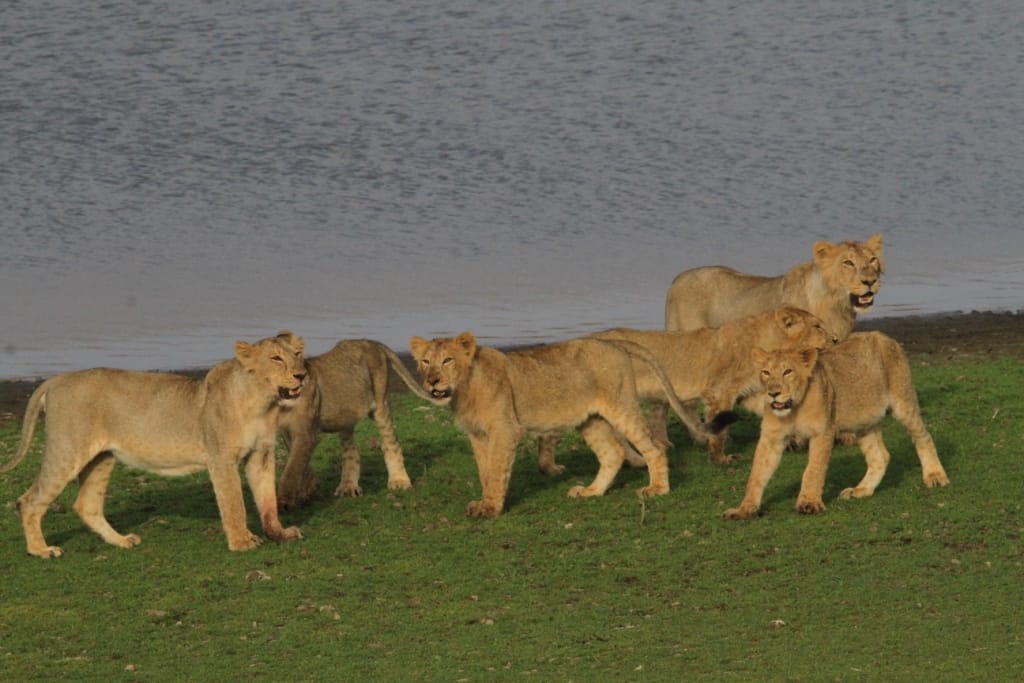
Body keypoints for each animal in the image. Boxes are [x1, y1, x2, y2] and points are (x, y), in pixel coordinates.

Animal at [2, 331, 308, 557]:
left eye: (297, 355)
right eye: (276, 358)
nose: (302, 375)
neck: (263, 403)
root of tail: (56, 380)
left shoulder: (261, 455)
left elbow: (267, 499)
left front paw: (280, 533)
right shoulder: (221, 458)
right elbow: (234, 503)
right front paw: (241, 542)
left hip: (101, 458)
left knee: (86, 504)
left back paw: (121, 540)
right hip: (67, 450)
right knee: (28, 501)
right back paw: (41, 550)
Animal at [277, 339, 439, 509]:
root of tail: (372, 342)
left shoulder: (307, 432)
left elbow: (293, 468)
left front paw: (285, 501)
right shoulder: (288, 432)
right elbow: (300, 464)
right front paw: (309, 491)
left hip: (380, 405)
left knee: (391, 443)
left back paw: (399, 480)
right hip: (346, 415)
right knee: (351, 450)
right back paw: (348, 487)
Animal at [408, 332, 734, 518]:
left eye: (447, 360)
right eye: (425, 362)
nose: (432, 381)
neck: (464, 389)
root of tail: (610, 342)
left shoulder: (505, 430)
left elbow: (498, 471)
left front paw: (491, 509)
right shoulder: (477, 434)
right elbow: (485, 472)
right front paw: (484, 502)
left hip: (621, 406)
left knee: (654, 447)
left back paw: (657, 489)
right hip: (591, 420)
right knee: (613, 453)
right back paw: (591, 491)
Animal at [535, 307, 837, 471]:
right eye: (817, 326)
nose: (834, 339)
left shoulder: (748, 393)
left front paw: (795, 439)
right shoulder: (719, 392)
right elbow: (718, 430)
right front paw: (720, 458)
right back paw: (551, 467)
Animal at [723, 332, 950, 520]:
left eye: (788, 371)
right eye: (766, 372)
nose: (773, 393)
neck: (794, 408)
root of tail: (884, 336)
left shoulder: (823, 432)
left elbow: (813, 469)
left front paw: (809, 503)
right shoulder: (771, 437)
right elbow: (757, 474)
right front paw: (744, 509)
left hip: (904, 403)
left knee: (923, 436)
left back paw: (935, 476)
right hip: (863, 422)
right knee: (880, 456)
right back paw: (861, 490)